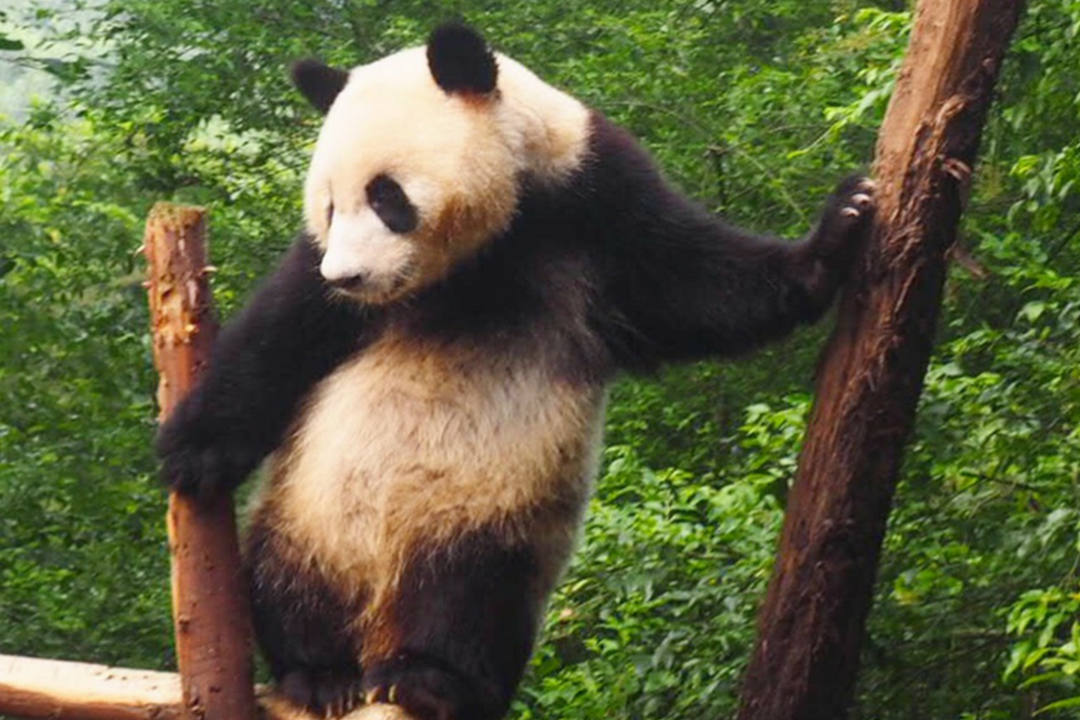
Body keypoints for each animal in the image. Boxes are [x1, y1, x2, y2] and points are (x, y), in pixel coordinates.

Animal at [159, 19, 876, 720]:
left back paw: (428, 678)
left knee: (470, 598)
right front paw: (190, 454)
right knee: (287, 578)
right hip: (308, 511)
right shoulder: (321, 274)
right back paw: (318, 674)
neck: (484, 252)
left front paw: (840, 226)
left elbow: (699, 286)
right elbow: (281, 335)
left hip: (491, 520)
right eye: (330, 206)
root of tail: (376, 632)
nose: (349, 277)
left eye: (386, 197)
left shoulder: (595, 202)